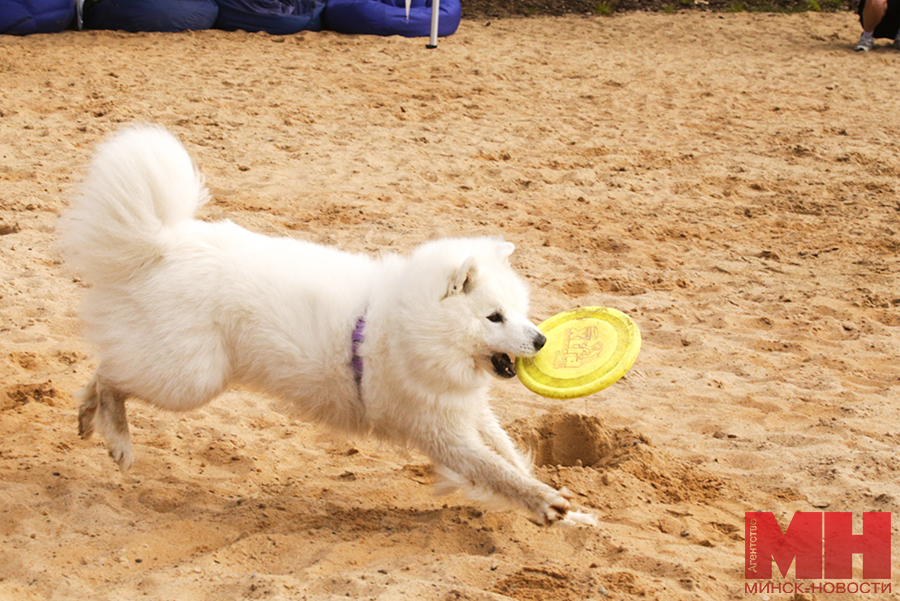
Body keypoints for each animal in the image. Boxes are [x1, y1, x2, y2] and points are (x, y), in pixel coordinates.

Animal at [59, 125, 588, 524]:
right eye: (494, 316)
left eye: (518, 310)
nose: (542, 340)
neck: (403, 327)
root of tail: (163, 243)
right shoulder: (441, 433)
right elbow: (497, 471)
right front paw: (547, 505)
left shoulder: (465, 412)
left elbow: (507, 456)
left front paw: (567, 508)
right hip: (191, 380)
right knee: (113, 376)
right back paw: (117, 440)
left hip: (177, 369)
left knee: (107, 365)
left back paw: (86, 417)